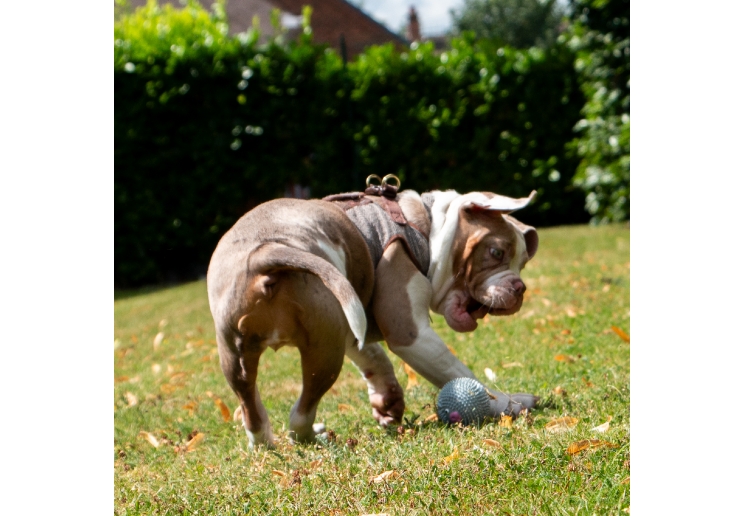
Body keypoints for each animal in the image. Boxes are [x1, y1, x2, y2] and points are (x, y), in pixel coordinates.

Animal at [206, 182, 536, 448]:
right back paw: (315, 437)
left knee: (252, 409)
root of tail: (266, 250)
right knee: (300, 414)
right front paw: (509, 402)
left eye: (523, 263)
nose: (519, 287)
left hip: (239, 353)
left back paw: (265, 442)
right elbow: (457, 371)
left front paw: (387, 400)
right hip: (324, 352)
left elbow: (374, 355)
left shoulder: (353, 325)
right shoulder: (410, 334)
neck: (426, 227)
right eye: (495, 253)